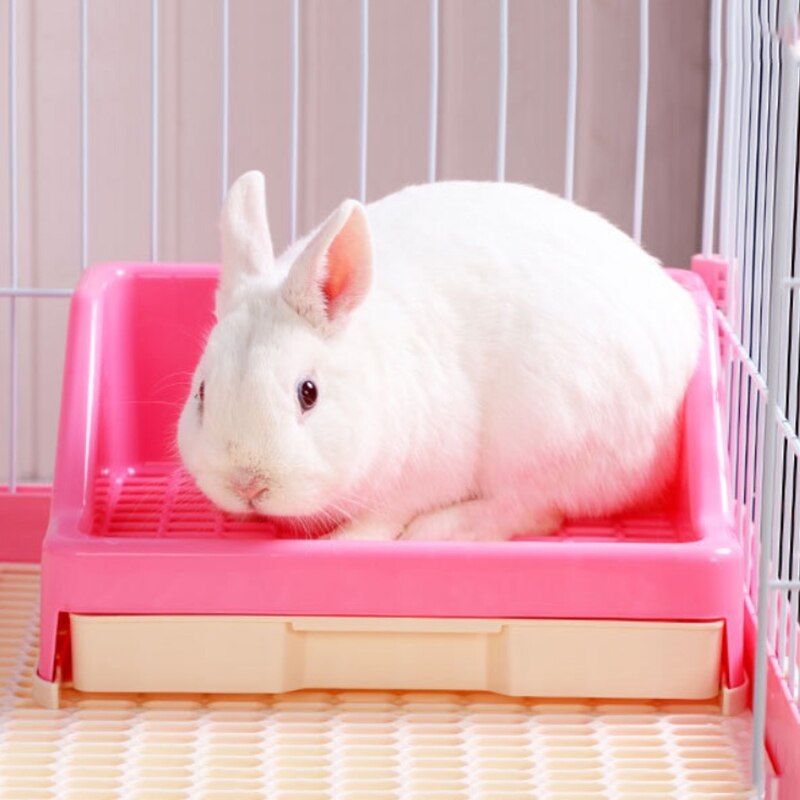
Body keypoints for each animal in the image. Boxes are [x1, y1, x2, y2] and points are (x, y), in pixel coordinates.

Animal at [177, 171, 700, 542]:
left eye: (309, 393)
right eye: (201, 392)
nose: (247, 484)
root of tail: (686, 336)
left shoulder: (422, 478)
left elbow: (381, 519)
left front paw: (347, 541)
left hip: (546, 441)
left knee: (533, 508)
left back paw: (438, 530)